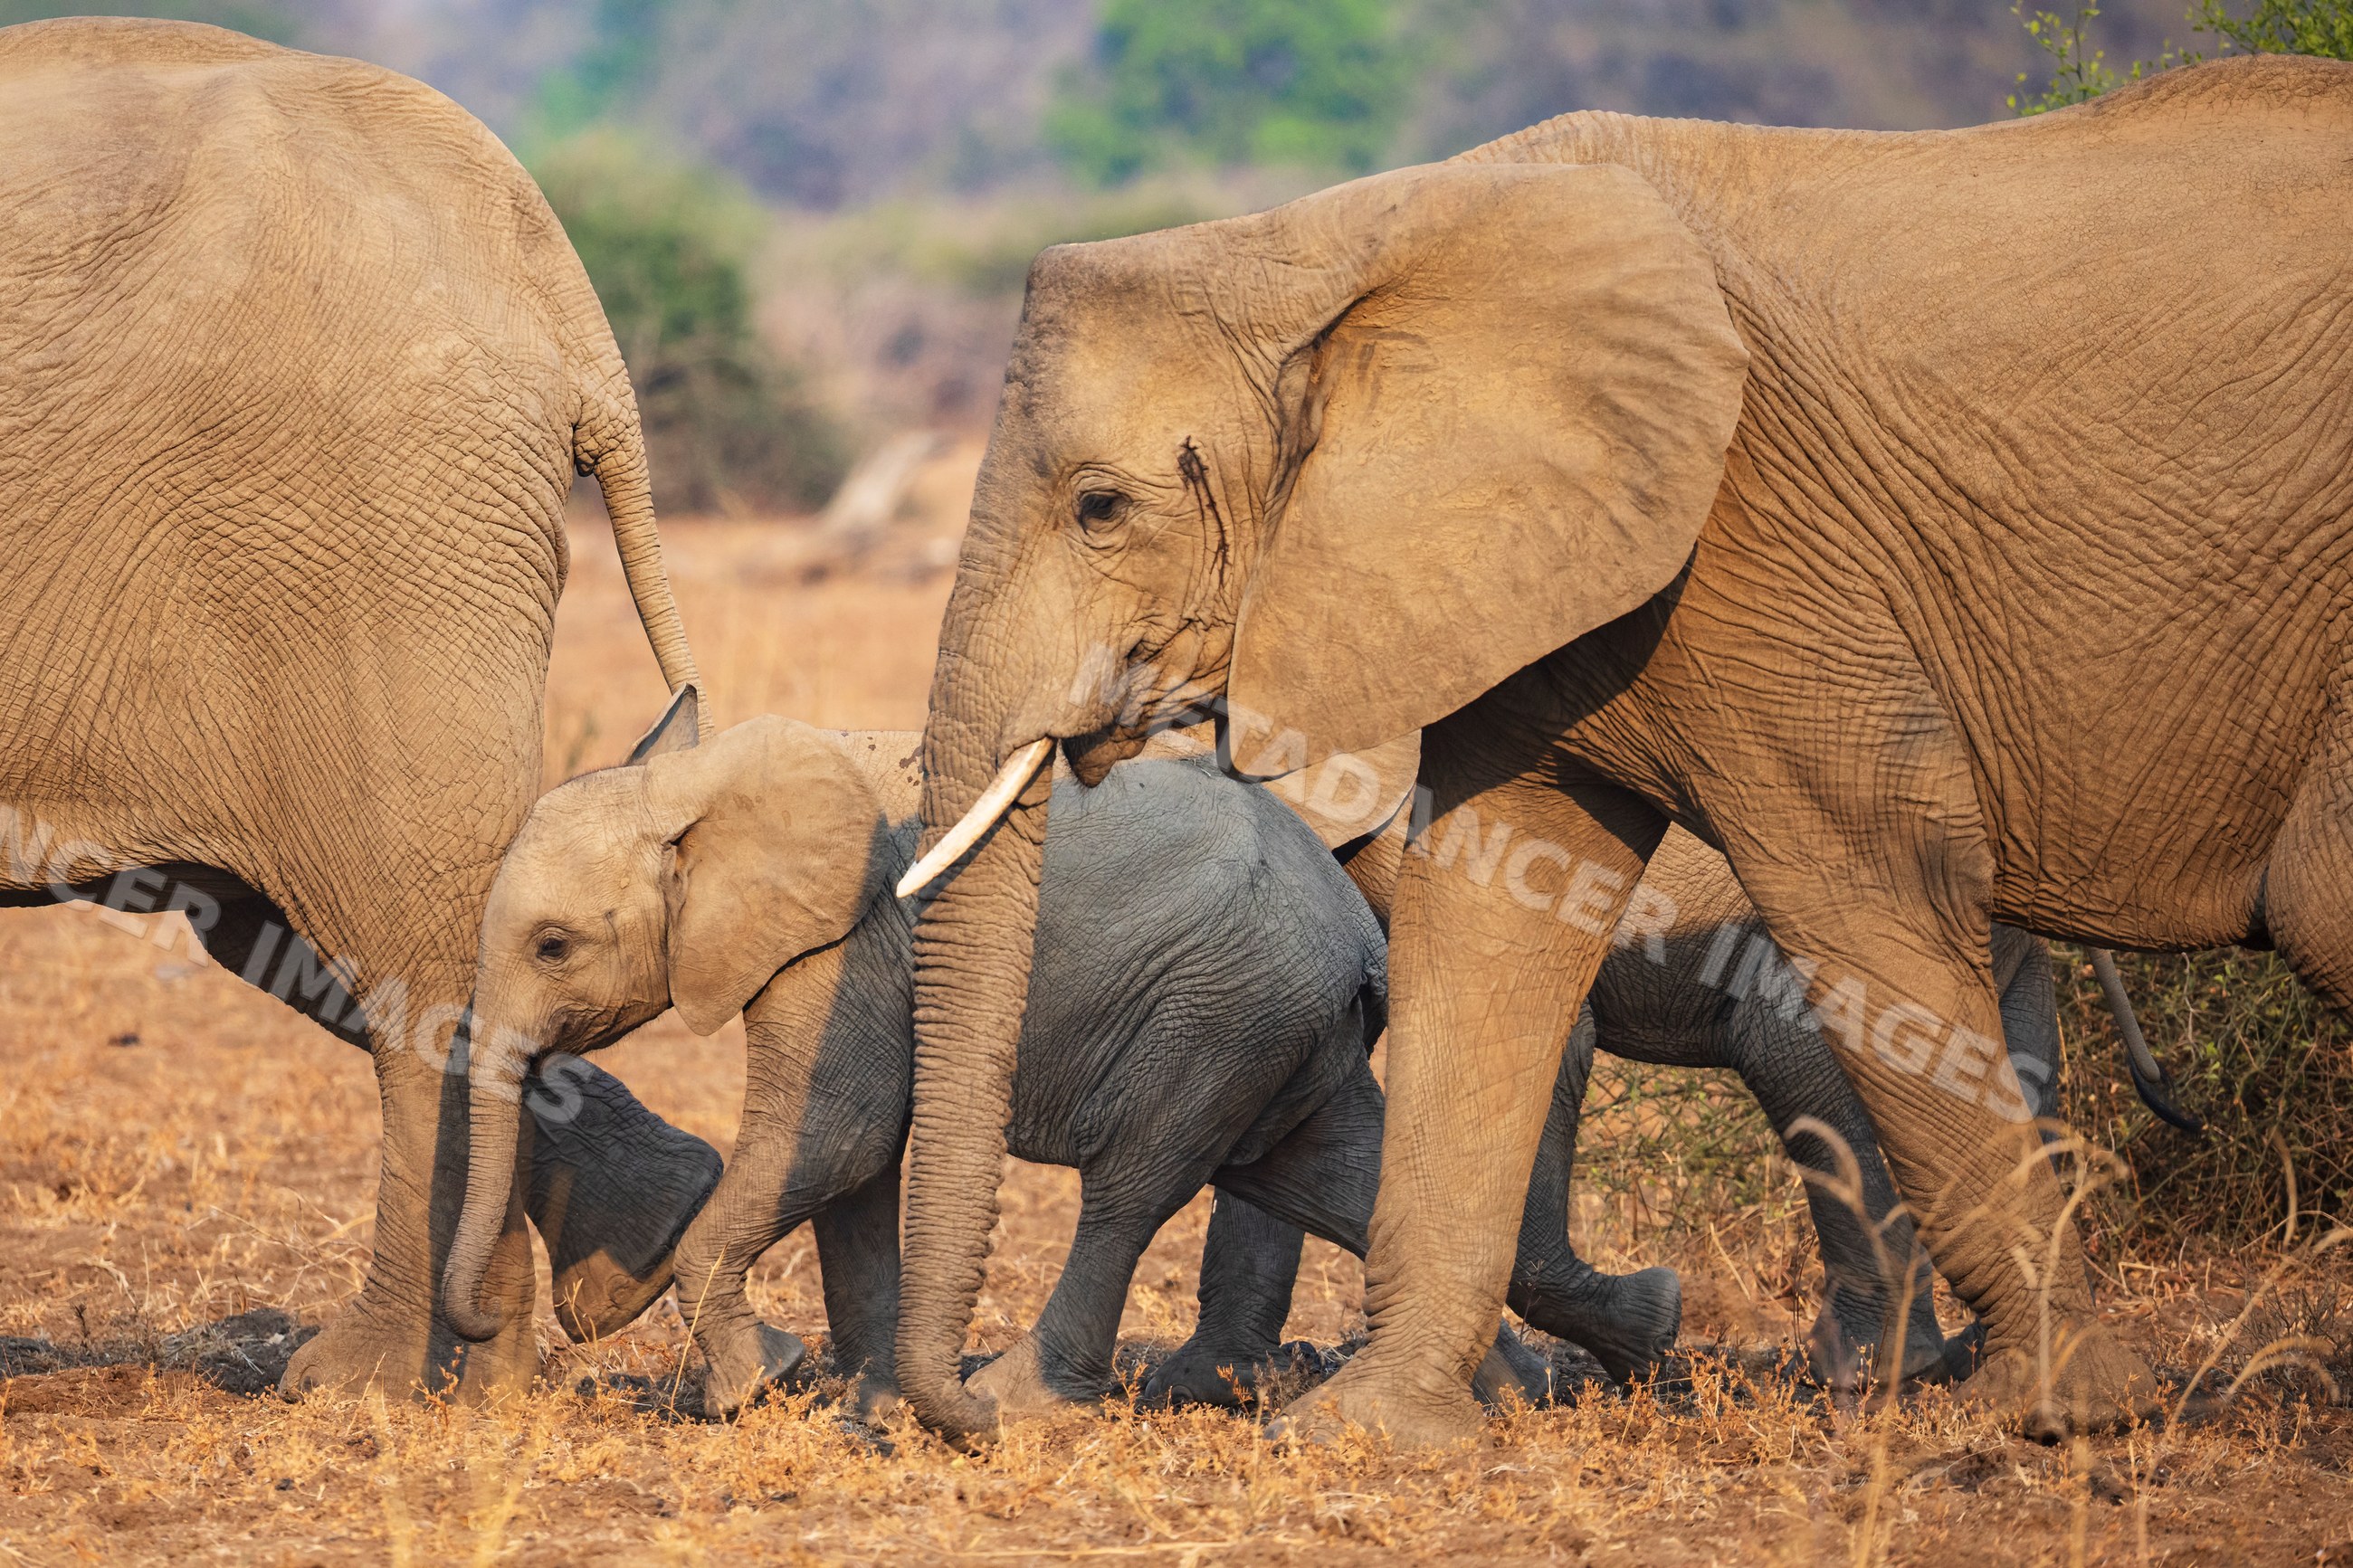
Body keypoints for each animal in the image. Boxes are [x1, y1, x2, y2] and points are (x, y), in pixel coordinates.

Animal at [0, 18, 725, 1400]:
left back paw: (391, 1380)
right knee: (321, 929)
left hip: (366, 533)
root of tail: (550, 276)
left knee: (409, 949)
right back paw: (640, 1250)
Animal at [889, 54, 2353, 1445]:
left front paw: (2057, 1417)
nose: (960, 1411)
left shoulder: (1755, 535)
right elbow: (1490, 920)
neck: (1347, 233)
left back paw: (1885, 1380)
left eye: (1099, 507)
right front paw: (1370, 1428)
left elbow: (1856, 872)